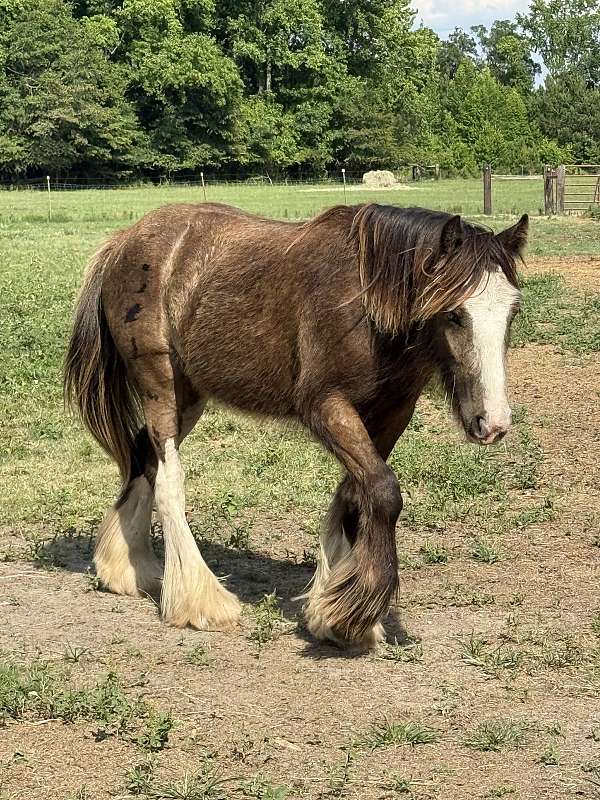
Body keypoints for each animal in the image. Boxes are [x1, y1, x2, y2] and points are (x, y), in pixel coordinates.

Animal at [64, 202, 527, 648]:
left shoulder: (391, 415)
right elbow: (383, 491)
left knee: (145, 457)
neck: (363, 305)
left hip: (188, 396)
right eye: (455, 314)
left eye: (512, 311)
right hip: (158, 383)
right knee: (168, 480)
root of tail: (125, 241)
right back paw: (200, 600)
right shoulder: (325, 407)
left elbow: (355, 495)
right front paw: (352, 617)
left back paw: (127, 570)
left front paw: (329, 609)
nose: (493, 422)